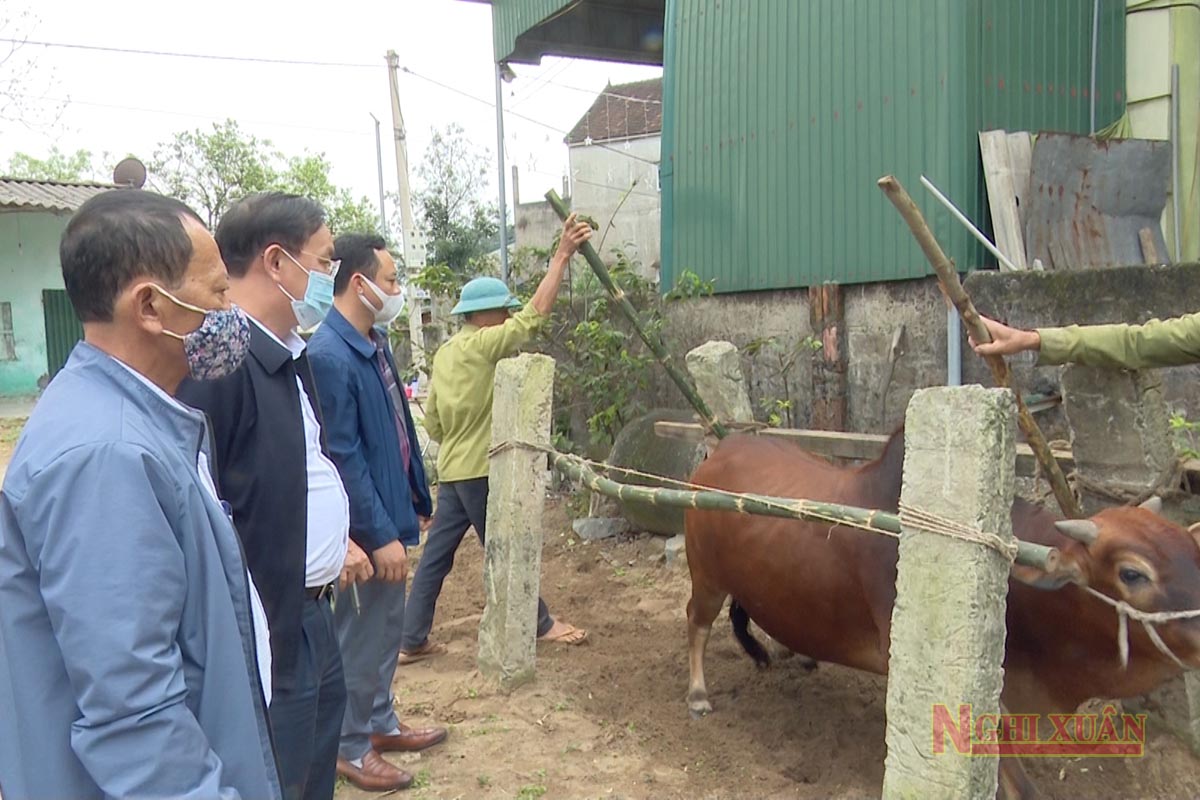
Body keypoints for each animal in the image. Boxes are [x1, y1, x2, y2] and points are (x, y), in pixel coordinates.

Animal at [686, 434, 1200, 796]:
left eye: (1192, 548)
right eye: (1132, 573)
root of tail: (717, 453)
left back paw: (780, 654)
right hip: (705, 577)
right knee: (698, 622)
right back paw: (698, 694)